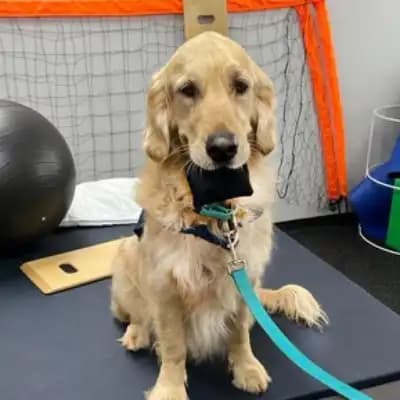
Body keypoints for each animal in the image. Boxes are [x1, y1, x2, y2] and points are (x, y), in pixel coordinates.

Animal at [110, 32, 328, 400]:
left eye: (241, 86)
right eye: (187, 89)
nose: (223, 148)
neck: (213, 214)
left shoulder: (244, 277)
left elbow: (239, 333)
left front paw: (245, 368)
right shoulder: (165, 287)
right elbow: (173, 346)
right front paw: (170, 388)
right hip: (125, 261)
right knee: (138, 315)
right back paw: (137, 334)